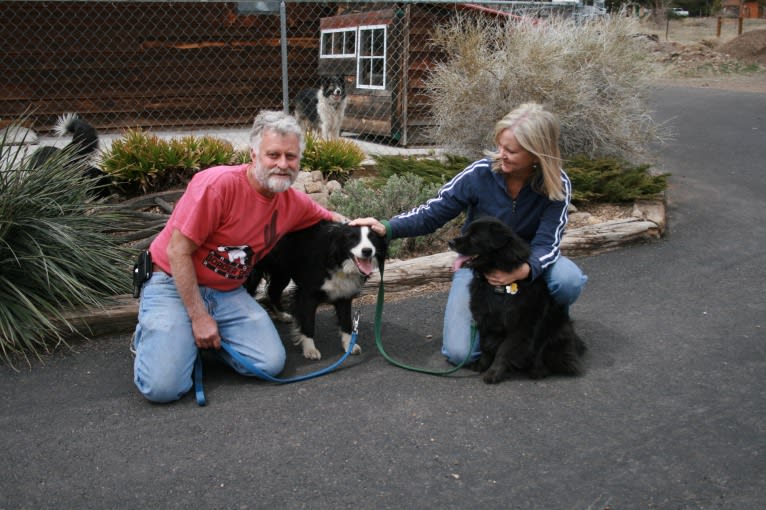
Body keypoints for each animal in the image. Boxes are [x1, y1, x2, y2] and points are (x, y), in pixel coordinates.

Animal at [246, 221, 388, 360]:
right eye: (352, 238)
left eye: (373, 238)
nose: (367, 251)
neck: (337, 260)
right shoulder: (307, 293)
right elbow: (309, 322)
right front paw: (310, 350)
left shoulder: (344, 294)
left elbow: (346, 321)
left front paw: (349, 346)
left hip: (281, 271)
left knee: (273, 291)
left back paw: (282, 315)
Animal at [450, 217, 588, 384]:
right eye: (466, 232)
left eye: (475, 236)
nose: (450, 242)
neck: (499, 288)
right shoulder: (485, 319)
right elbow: (486, 346)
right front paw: (481, 365)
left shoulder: (521, 325)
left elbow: (504, 350)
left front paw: (493, 373)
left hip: (556, 331)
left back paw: (537, 371)